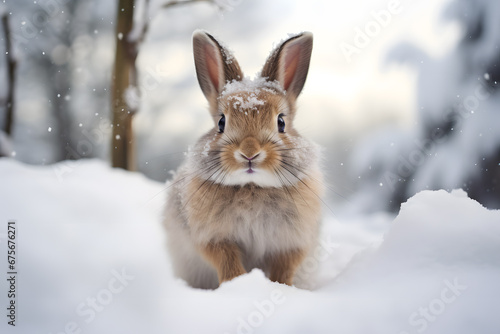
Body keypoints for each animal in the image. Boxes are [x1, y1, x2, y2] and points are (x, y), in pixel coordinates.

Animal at [164, 29, 324, 290]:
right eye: (221, 122)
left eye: (281, 122)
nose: (249, 152)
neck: (252, 186)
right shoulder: (214, 238)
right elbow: (226, 260)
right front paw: (237, 284)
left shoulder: (291, 243)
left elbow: (284, 268)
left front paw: (280, 288)